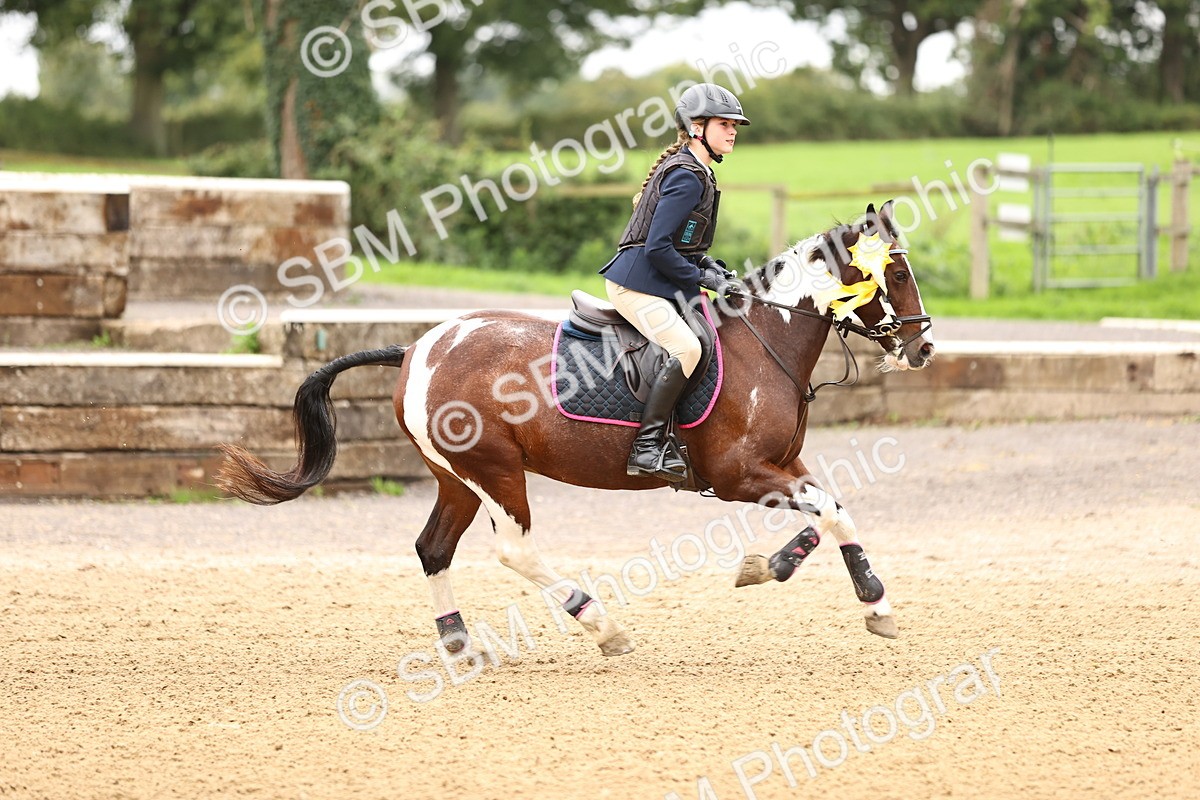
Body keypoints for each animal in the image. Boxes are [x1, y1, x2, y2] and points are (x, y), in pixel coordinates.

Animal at [217, 200, 935, 656]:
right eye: (896, 273)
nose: (924, 348)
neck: (767, 337)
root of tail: (417, 348)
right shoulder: (739, 475)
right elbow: (831, 511)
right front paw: (868, 599)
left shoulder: (783, 466)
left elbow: (831, 510)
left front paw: (791, 574)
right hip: (496, 471)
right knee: (514, 551)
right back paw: (599, 623)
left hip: (456, 477)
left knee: (432, 548)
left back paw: (457, 640)